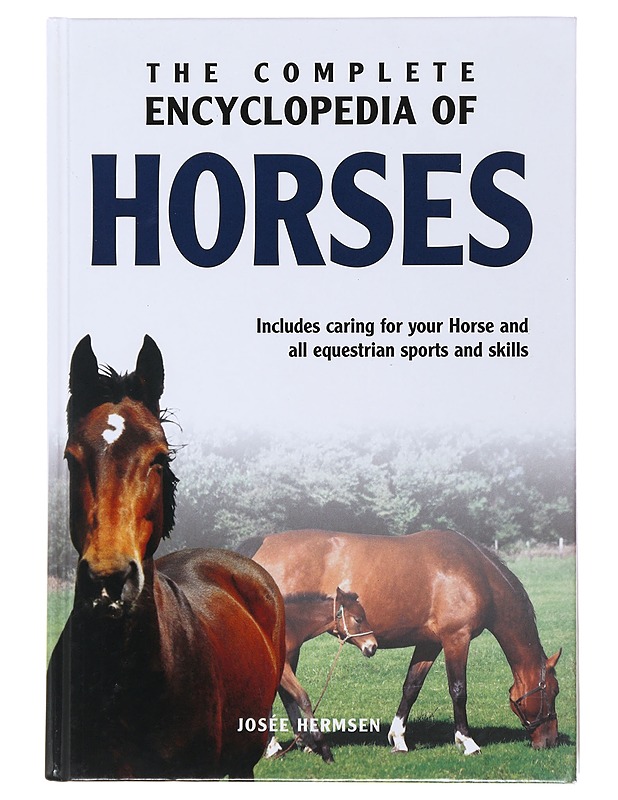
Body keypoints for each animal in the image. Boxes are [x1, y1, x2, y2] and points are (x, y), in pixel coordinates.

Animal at [263, 586, 377, 763]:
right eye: (358, 619)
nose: (373, 646)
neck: (288, 626)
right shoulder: (283, 668)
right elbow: (302, 698)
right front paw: (323, 748)